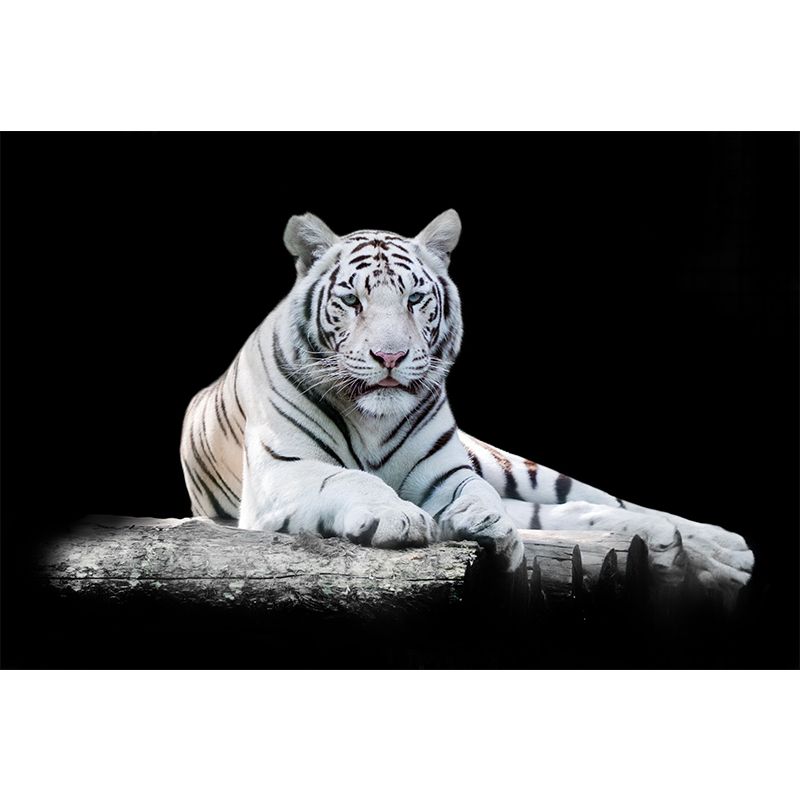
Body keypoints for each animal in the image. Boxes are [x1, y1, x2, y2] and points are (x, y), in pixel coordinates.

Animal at [179, 210, 754, 593]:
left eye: (414, 298)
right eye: (351, 300)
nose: (390, 356)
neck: (371, 420)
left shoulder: (447, 472)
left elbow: (478, 495)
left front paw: (489, 529)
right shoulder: (281, 472)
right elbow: (349, 478)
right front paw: (401, 518)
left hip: (513, 465)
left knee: (599, 500)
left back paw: (721, 550)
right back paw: (677, 547)